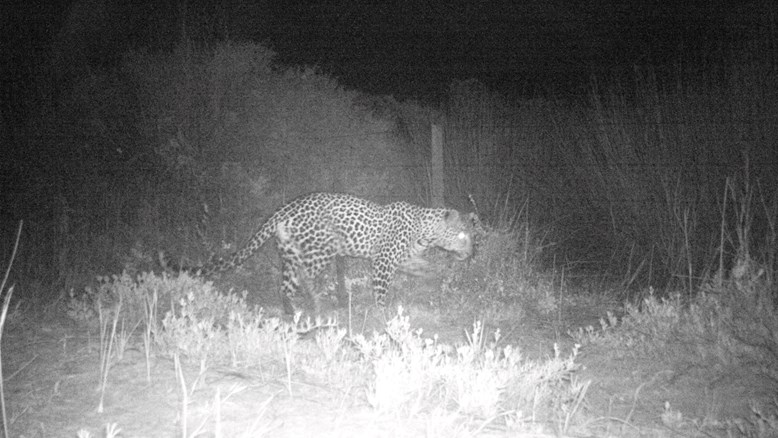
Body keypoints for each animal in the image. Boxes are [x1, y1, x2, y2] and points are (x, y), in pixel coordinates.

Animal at [164, 192, 477, 314]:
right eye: (463, 235)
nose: (472, 254)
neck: (426, 230)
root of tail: (284, 209)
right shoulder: (383, 261)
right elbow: (381, 289)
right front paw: (383, 313)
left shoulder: (405, 257)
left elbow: (422, 267)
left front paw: (438, 276)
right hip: (318, 251)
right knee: (300, 280)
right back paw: (315, 304)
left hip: (291, 252)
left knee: (287, 283)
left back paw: (295, 310)